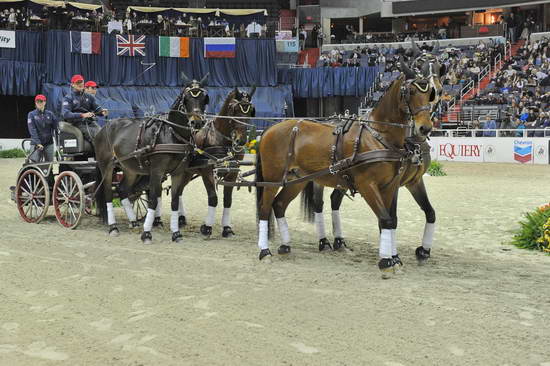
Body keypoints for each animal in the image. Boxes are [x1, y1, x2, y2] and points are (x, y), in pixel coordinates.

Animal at [256, 62, 442, 274]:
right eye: (410, 91)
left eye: (432, 93)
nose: (425, 128)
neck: (379, 134)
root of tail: (270, 128)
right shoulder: (367, 185)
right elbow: (386, 219)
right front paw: (387, 261)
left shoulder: (392, 185)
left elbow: (390, 220)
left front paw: (394, 257)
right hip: (272, 179)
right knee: (265, 208)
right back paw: (265, 251)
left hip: (297, 180)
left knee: (279, 205)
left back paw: (287, 245)